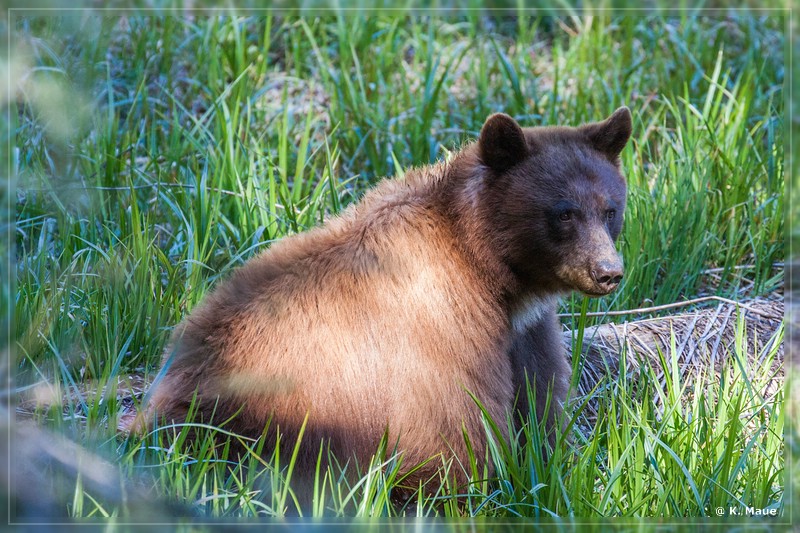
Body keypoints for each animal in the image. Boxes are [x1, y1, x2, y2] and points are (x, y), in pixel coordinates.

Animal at [131, 107, 632, 508]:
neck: (481, 259)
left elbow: (539, 399)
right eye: (564, 212)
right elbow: (453, 431)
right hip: (271, 424)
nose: (608, 271)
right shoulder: (444, 328)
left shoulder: (524, 331)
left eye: (610, 209)